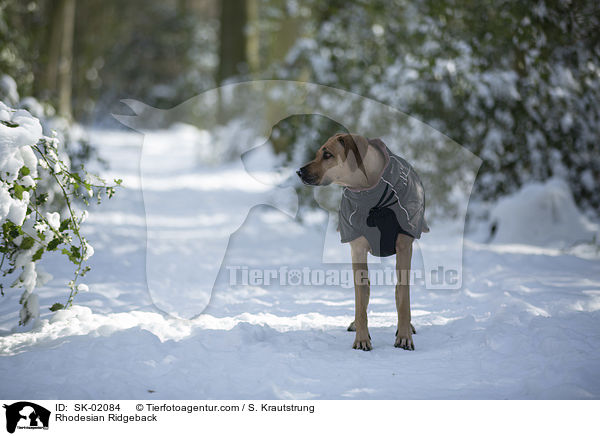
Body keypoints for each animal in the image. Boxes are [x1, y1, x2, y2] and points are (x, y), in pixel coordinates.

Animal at [296, 133, 426, 350]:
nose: (299, 171)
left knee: (398, 290)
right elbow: (360, 299)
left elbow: (403, 297)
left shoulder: (404, 246)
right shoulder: (357, 248)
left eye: (327, 155)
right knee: (363, 295)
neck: (370, 190)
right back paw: (356, 324)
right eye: (317, 154)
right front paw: (362, 338)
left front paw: (404, 336)